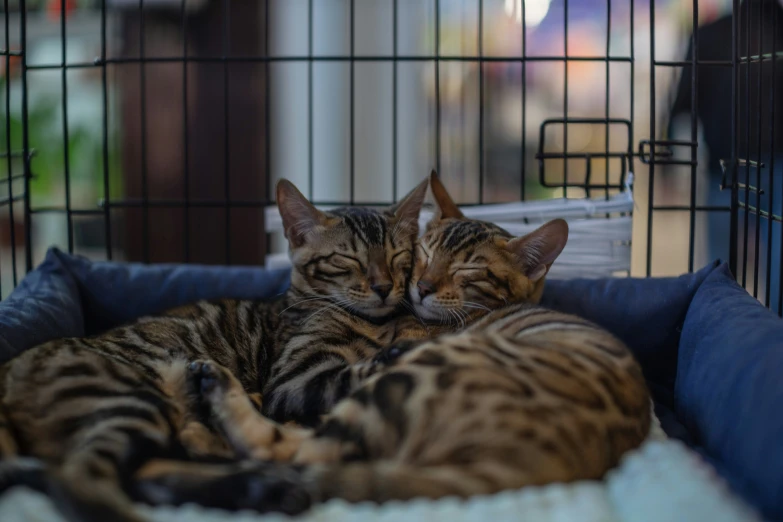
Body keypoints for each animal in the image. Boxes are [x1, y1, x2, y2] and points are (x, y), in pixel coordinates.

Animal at [0, 176, 434, 520]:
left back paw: (265, 487)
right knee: (80, 476)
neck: (377, 324)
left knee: (149, 474)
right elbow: (357, 369)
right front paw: (396, 356)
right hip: (129, 397)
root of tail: (10, 368)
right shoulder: (292, 380)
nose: (383, 287)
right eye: (347, 260)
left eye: (399, 257)